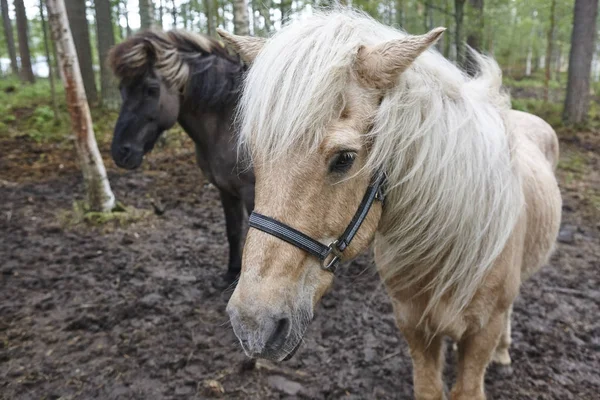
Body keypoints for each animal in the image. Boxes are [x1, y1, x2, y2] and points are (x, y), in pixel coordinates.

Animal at [109, 28, 254, 282]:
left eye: (151, 89)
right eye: (122, 90)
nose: (120, 151)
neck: (229, 123)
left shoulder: (251, 193)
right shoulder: (226, 189)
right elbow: (234, 231)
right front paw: (232, 271)